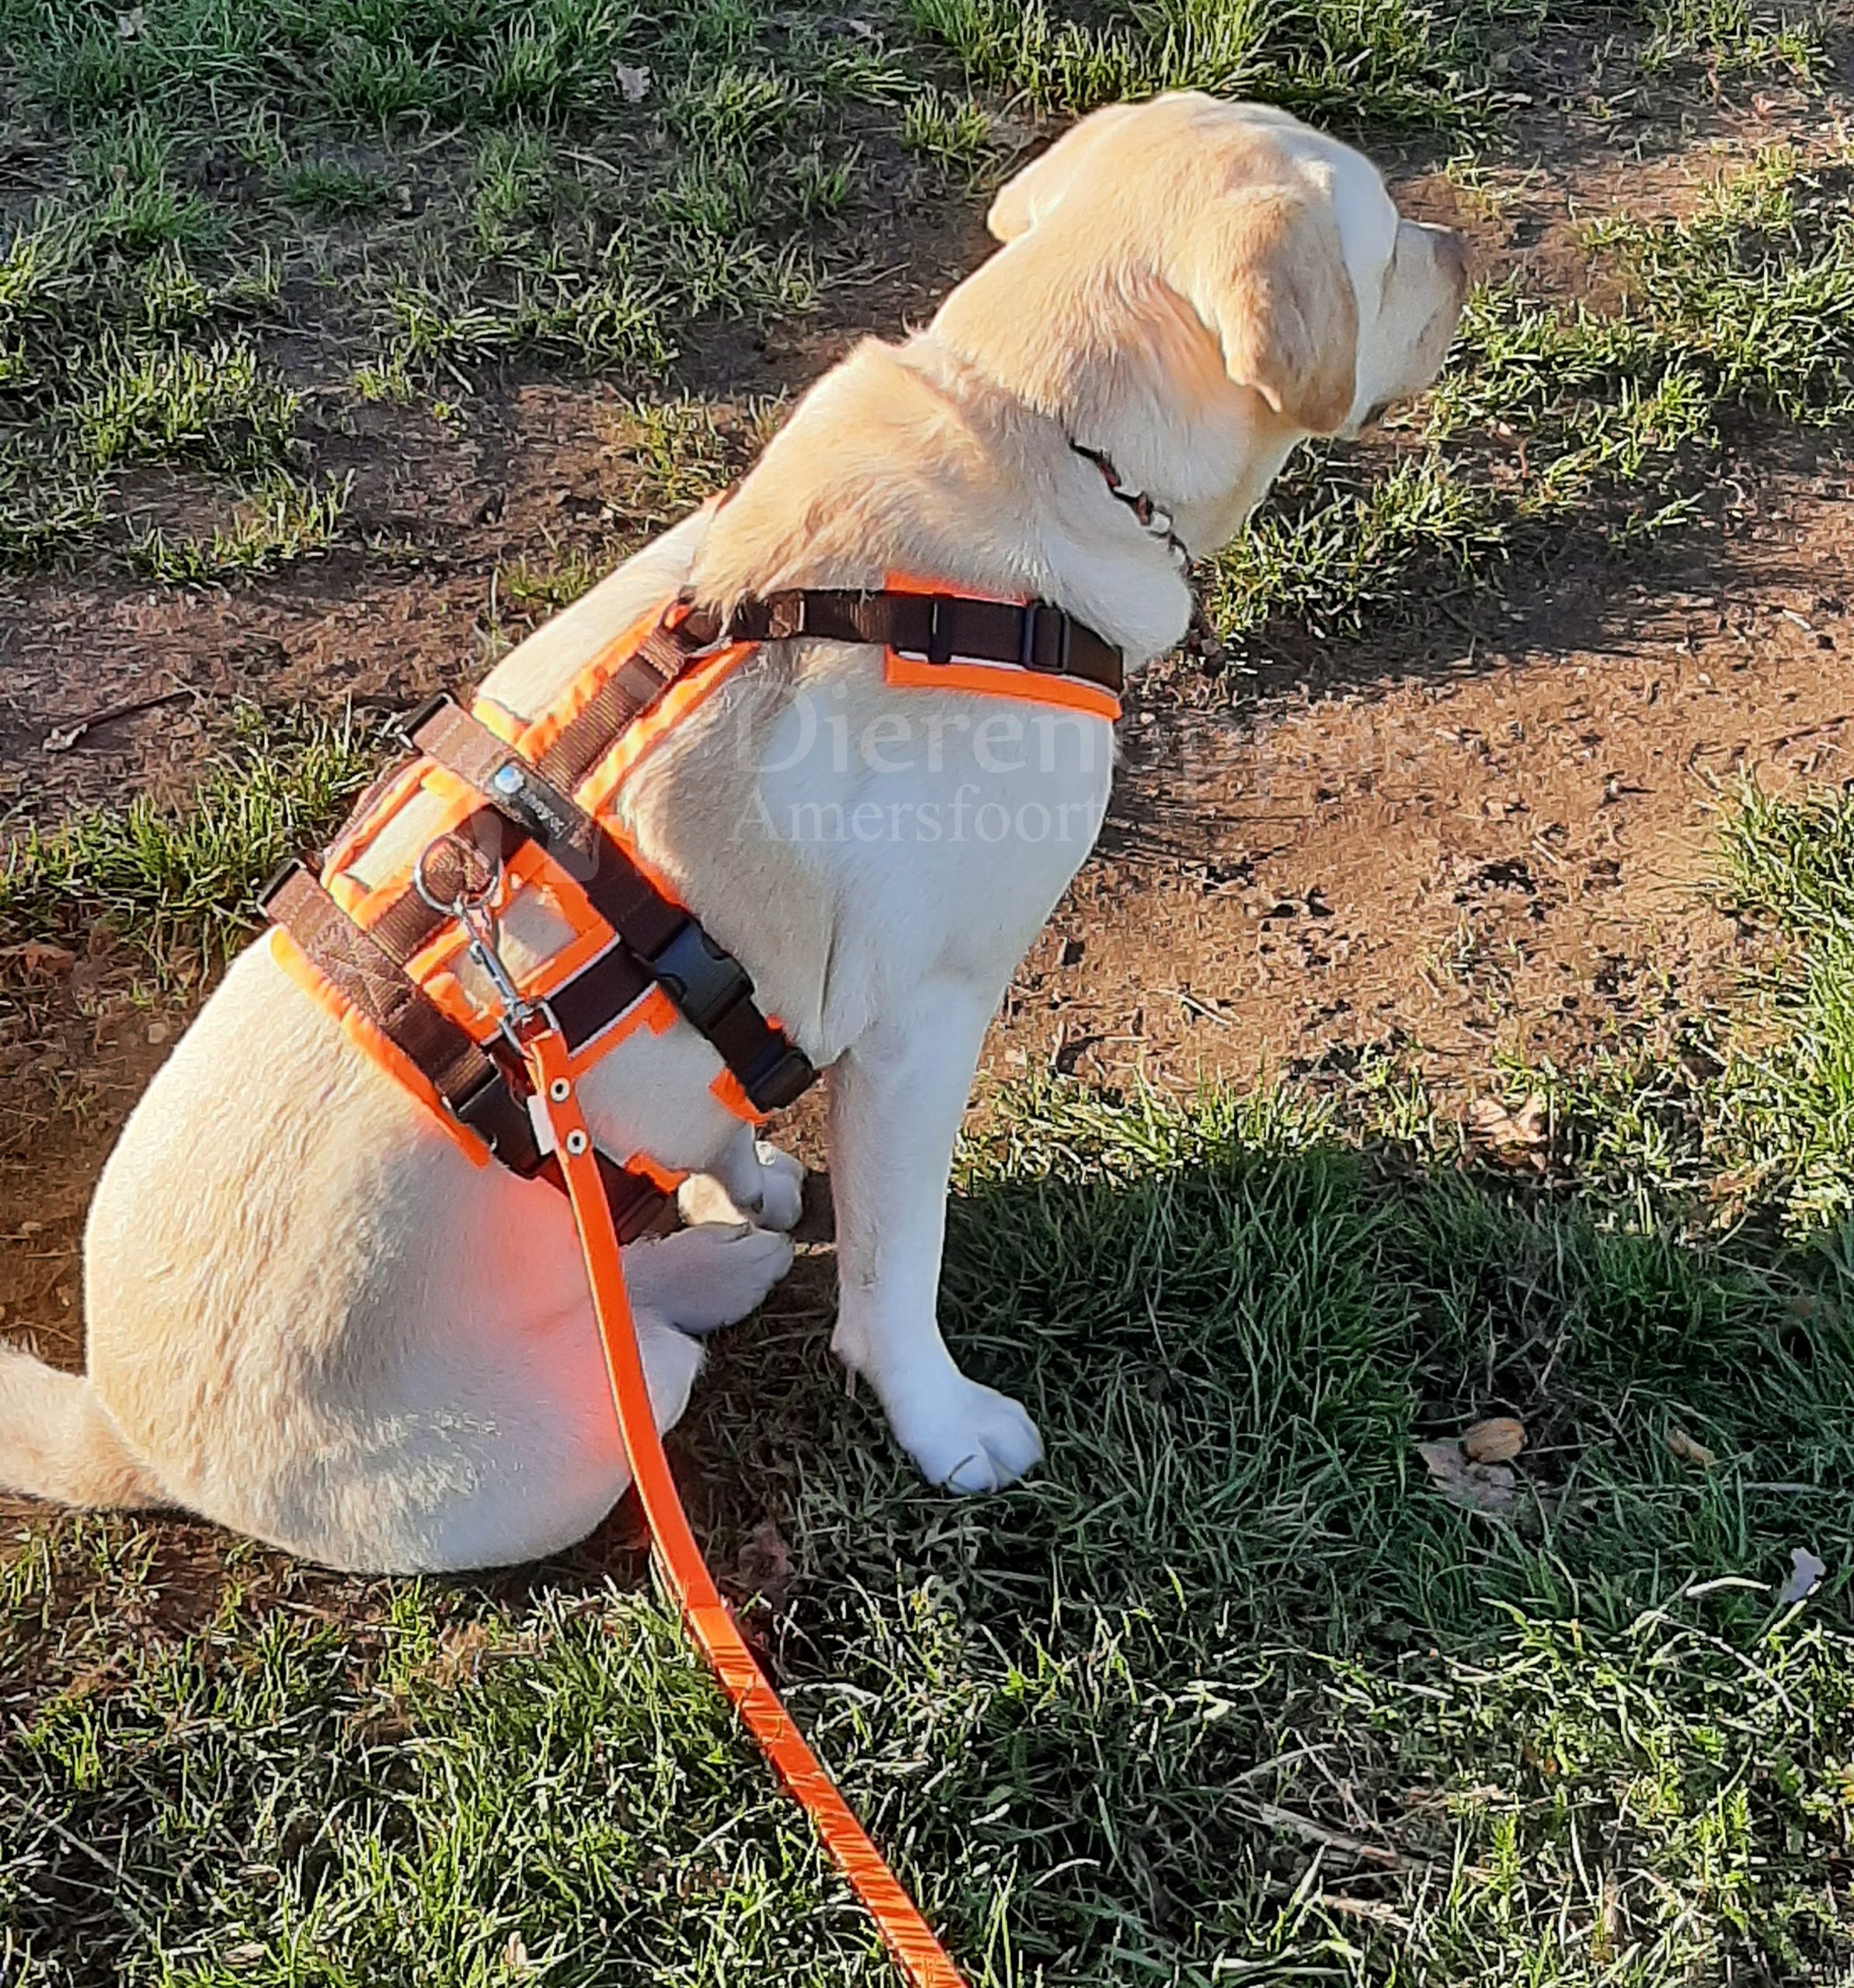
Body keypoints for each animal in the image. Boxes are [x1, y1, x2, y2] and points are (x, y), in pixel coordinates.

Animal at [0, 96, 1464, 1566]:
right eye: (1389, 239)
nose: (1462, 250)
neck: (1036, 430)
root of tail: (124, 1431)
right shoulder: (923, 1022)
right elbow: (895, 1270)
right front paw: (941, 1423)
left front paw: (736, 1171)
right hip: (598, 1418)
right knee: (650, 1351)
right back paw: (701, 1276)